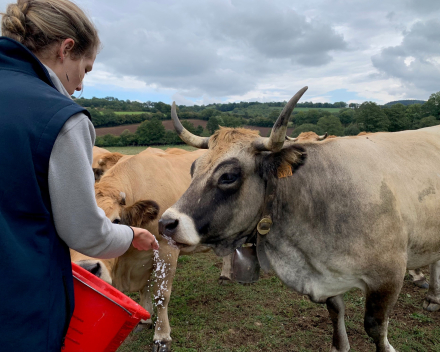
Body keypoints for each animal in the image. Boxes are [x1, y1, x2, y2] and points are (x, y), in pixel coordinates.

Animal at [160, 86, 440, 352]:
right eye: (193, 168)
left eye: (228, 176)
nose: (166, 223)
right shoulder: (326, 275)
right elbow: (335, 310)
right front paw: (339, 346)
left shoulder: (388, 277)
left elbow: (375, 327)